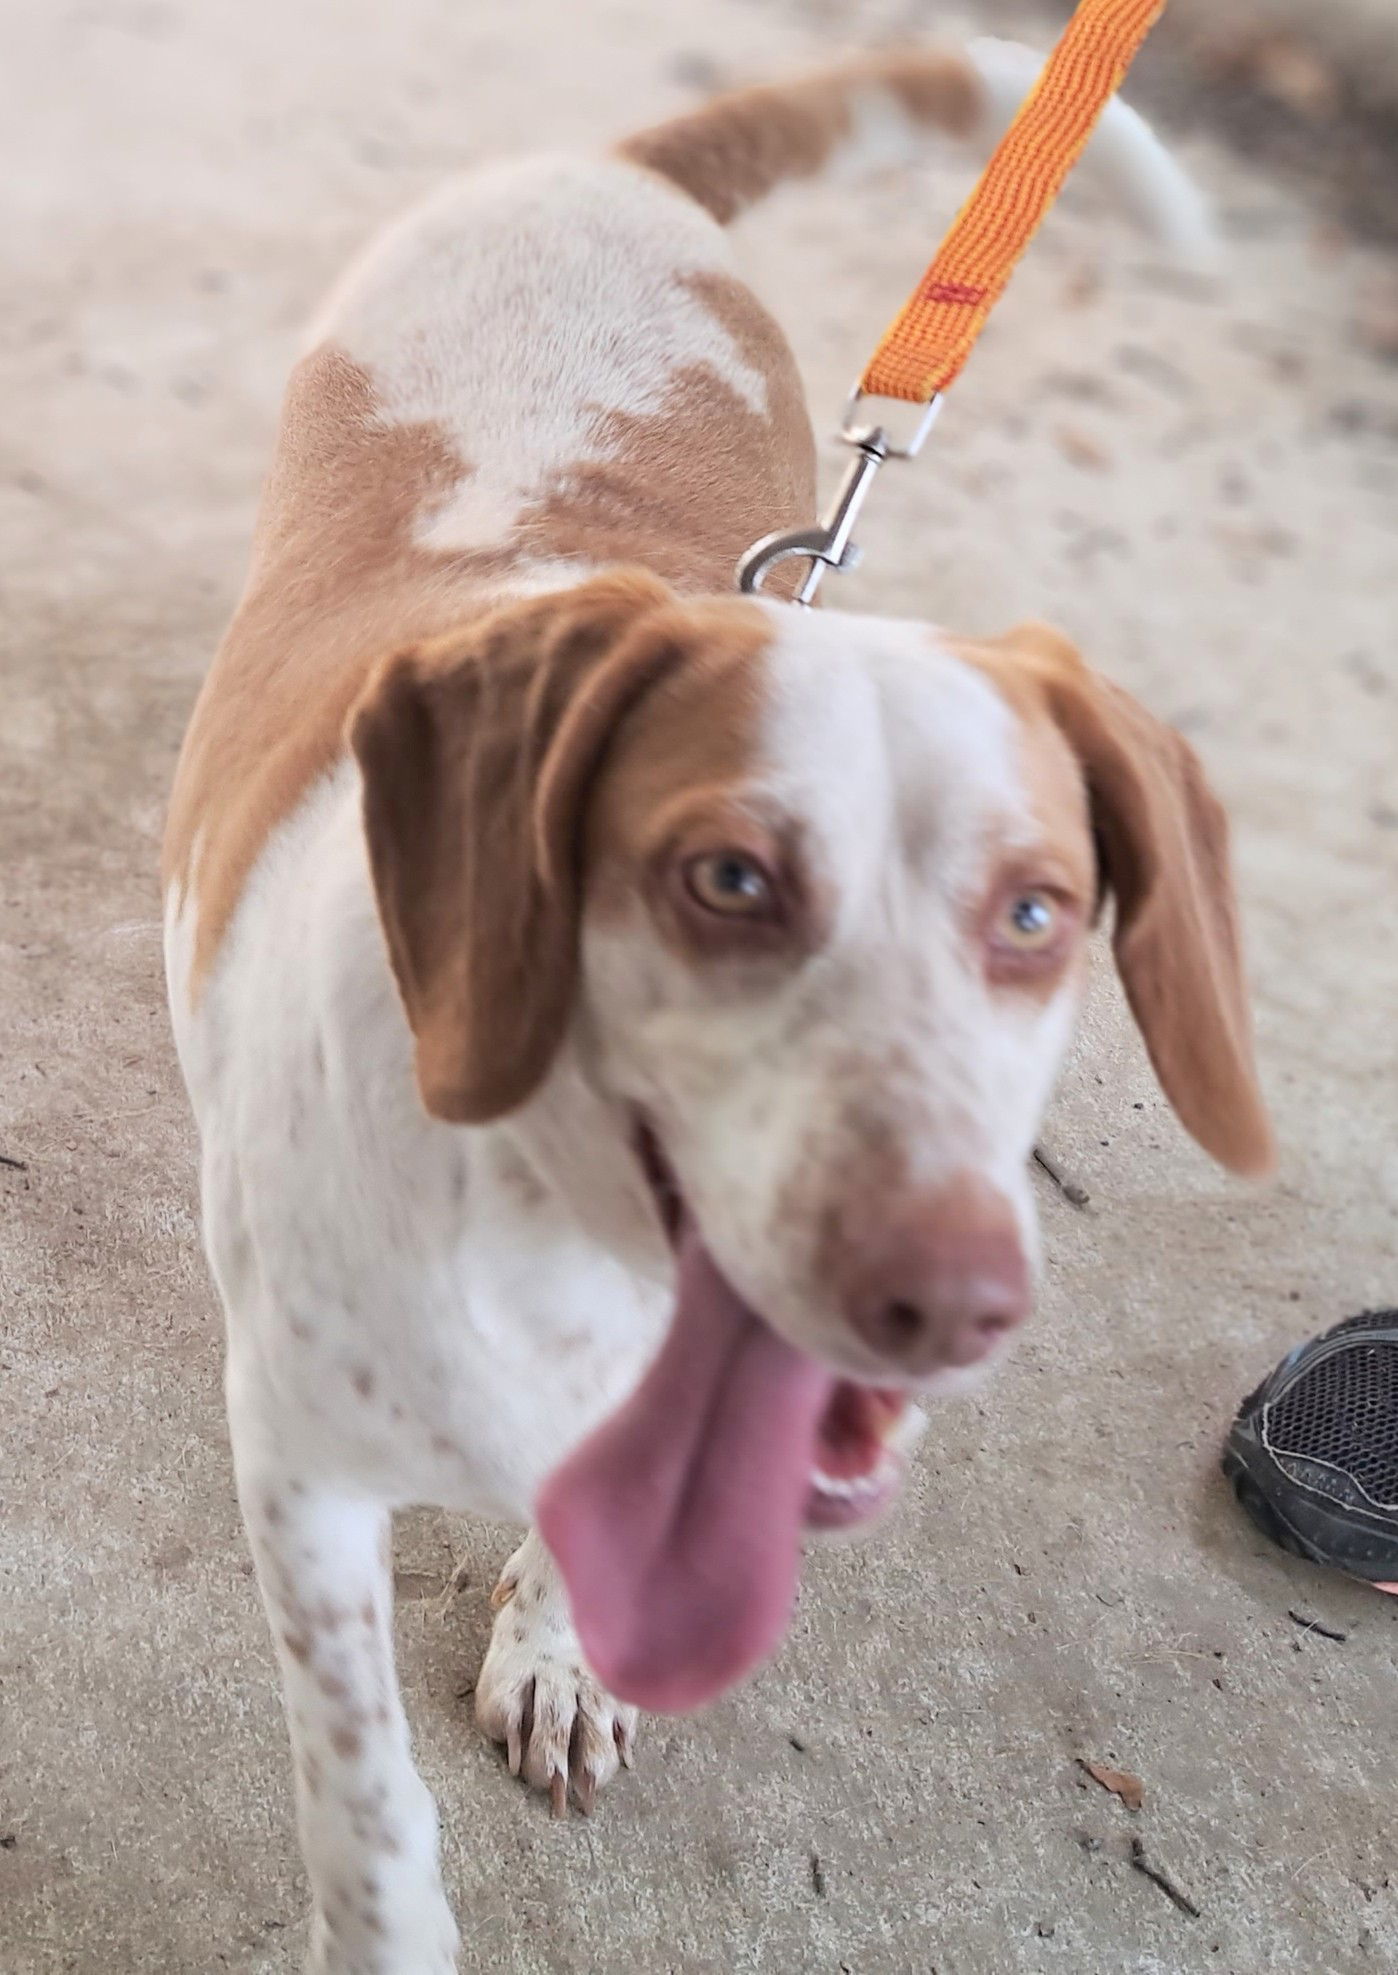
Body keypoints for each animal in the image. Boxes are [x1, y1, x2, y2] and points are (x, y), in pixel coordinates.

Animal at [160, 38, 1263, 1967]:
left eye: (1035, 912)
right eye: (727, 880)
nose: (943, 1304)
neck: (553, 1247)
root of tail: (612, 175)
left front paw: (555, 1652)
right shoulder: (297, 1477)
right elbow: (365, 1802)